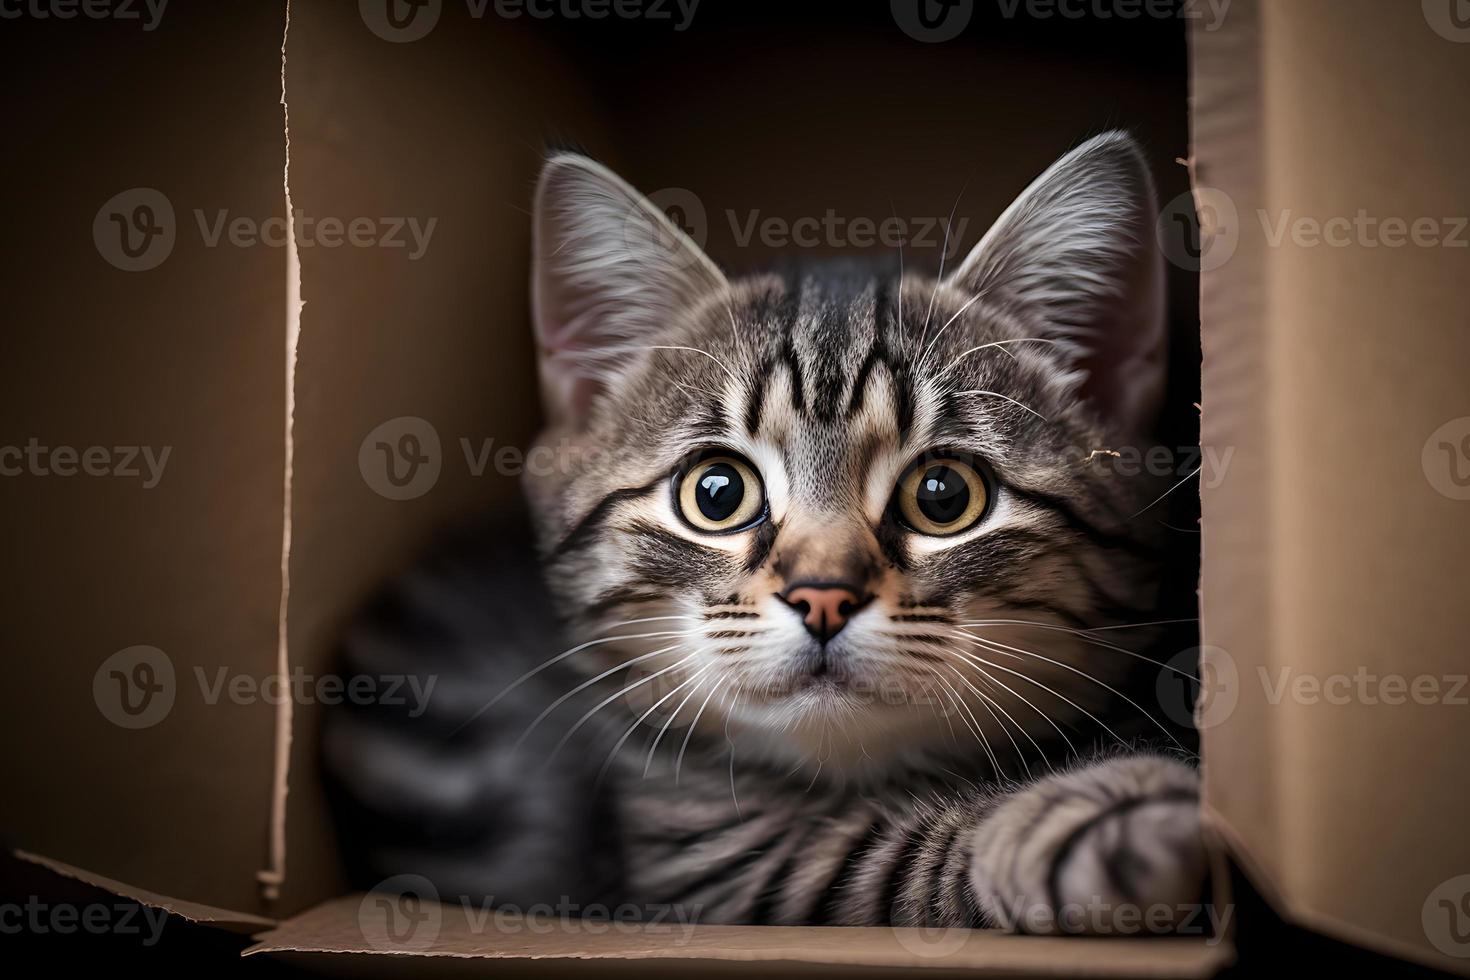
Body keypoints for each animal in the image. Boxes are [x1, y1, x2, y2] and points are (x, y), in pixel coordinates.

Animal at [327, 130, 1211, 934]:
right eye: (716, 493)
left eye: (944, 495)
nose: (823, 595)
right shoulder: (706, 849)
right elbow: (879, 862)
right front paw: (1094, 819)